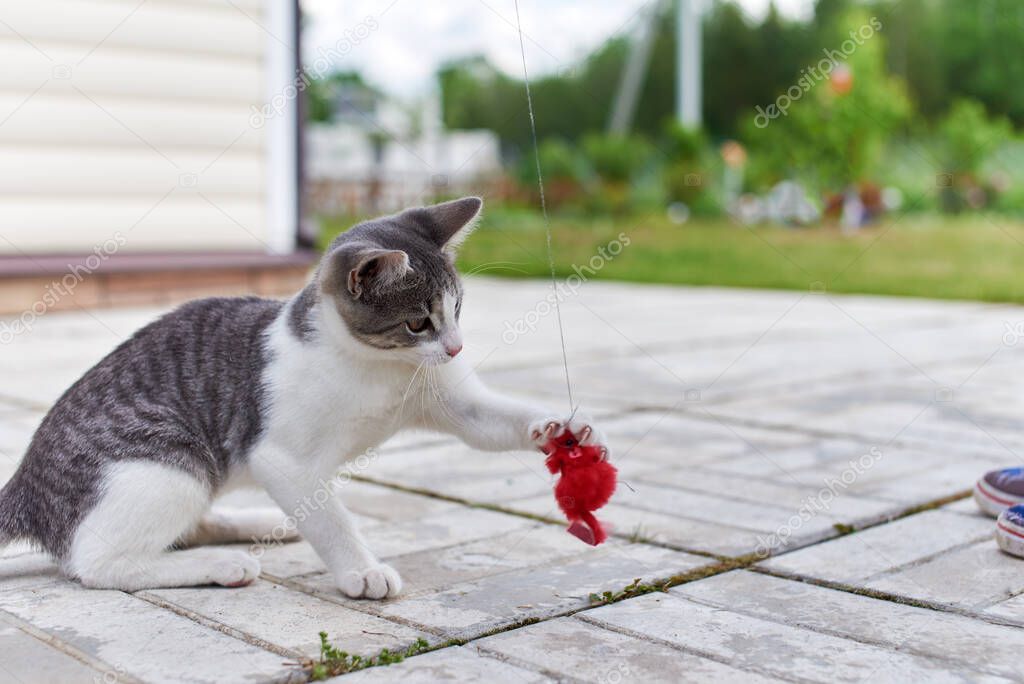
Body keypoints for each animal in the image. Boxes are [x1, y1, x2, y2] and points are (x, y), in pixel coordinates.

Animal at [0, 197, 606, 597]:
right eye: (418, 322)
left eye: (457, 310)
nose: (456, 348)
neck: (380, 368)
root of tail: (26, 483)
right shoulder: (282, 458)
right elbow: (330, 517)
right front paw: (361, 570)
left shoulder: (447, 398)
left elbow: (488, 424)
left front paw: (560, 428)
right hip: (169, 458)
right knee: (96, 563)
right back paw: (221, 566)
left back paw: (250, 525)